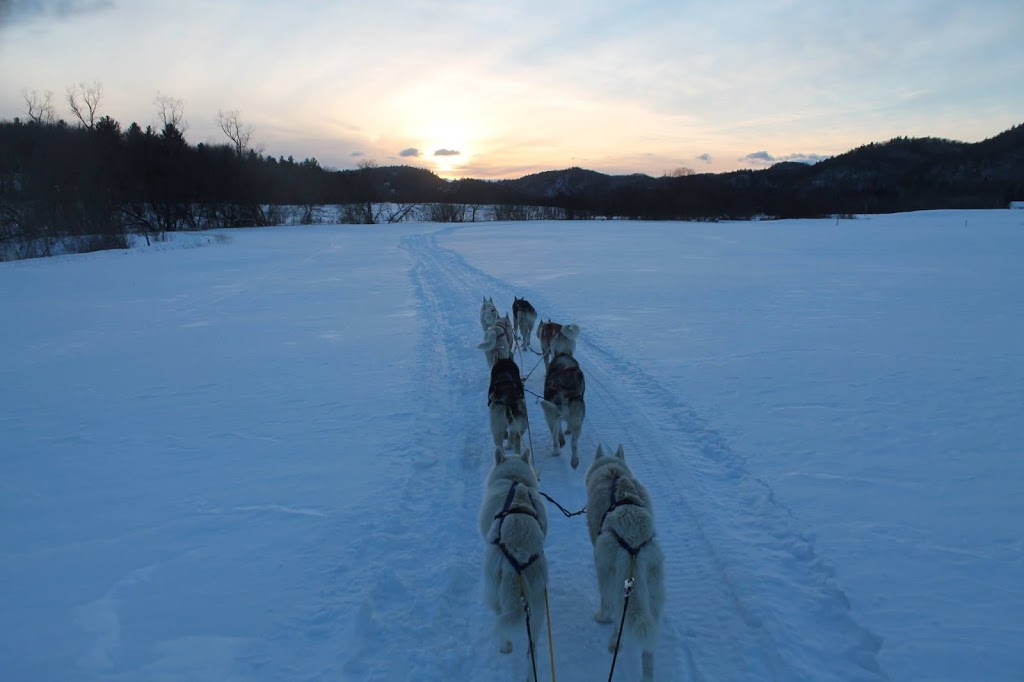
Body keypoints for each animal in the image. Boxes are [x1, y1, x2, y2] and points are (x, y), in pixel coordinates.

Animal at [477, 444, 548, 655]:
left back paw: (505, 645)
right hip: (538, 608)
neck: (514, 480)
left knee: (501, 622)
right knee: (532, 642)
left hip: (493, 593)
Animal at [585, 444, 663, 675]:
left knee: (613, 611)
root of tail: (633, 543)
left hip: (607, 574)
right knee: (648, 650)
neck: (614, 472)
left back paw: (610, 636)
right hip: (652, 595)